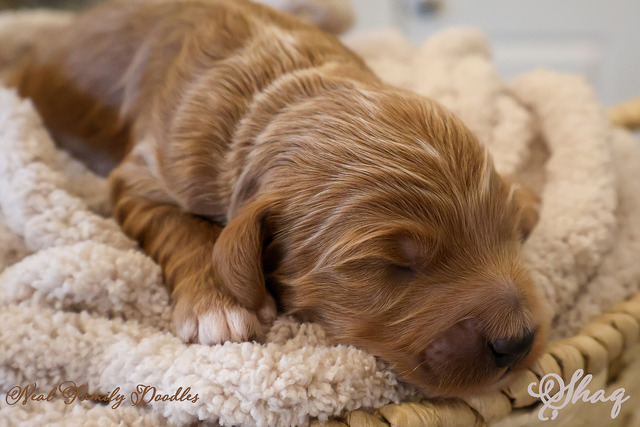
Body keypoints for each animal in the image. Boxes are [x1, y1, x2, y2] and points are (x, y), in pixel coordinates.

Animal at [5, 0, 548, 396]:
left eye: (505, 231)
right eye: (390, 265)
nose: (518, 342)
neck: (284, 86)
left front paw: (527, 197)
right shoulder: (143, 175)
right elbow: (180, 225)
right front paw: (217, 306)